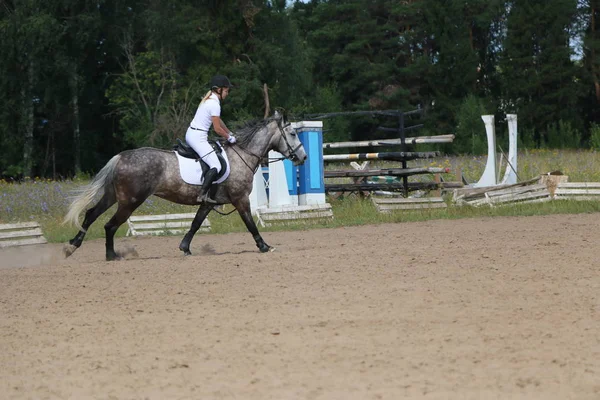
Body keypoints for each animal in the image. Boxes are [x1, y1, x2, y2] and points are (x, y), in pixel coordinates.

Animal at [64, 110, 310, 260]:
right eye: (292, 133)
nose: (303, 157)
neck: (242, 155)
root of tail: (121, 157)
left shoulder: (209, 203)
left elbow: (196, 223)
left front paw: (185, 248)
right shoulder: (240, 199)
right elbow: (250, 224)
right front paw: (264, 246)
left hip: (114, 196)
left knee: (91, 214)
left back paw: (73, 245)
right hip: (130, 201)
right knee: (109, 225)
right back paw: (110, 255)